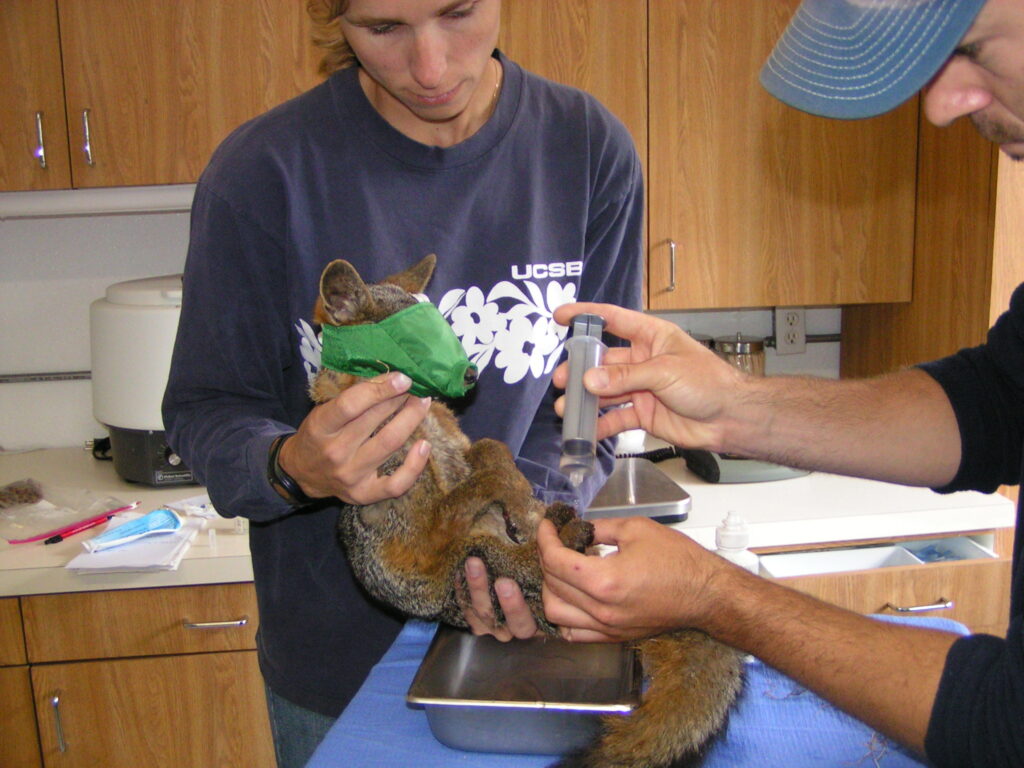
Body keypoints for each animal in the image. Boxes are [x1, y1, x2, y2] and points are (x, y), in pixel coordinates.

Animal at [310, 253, 744, 768]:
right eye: (410, 338)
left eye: (442, 325)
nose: (471, 376)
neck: (421, 423)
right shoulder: (429, 527)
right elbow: (483, 481)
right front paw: (514, 495)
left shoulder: (465, 455)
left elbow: (492, 451)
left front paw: (520, 495)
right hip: (478, 557)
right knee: (532, 563)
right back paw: (562, 537)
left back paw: (556, 520)